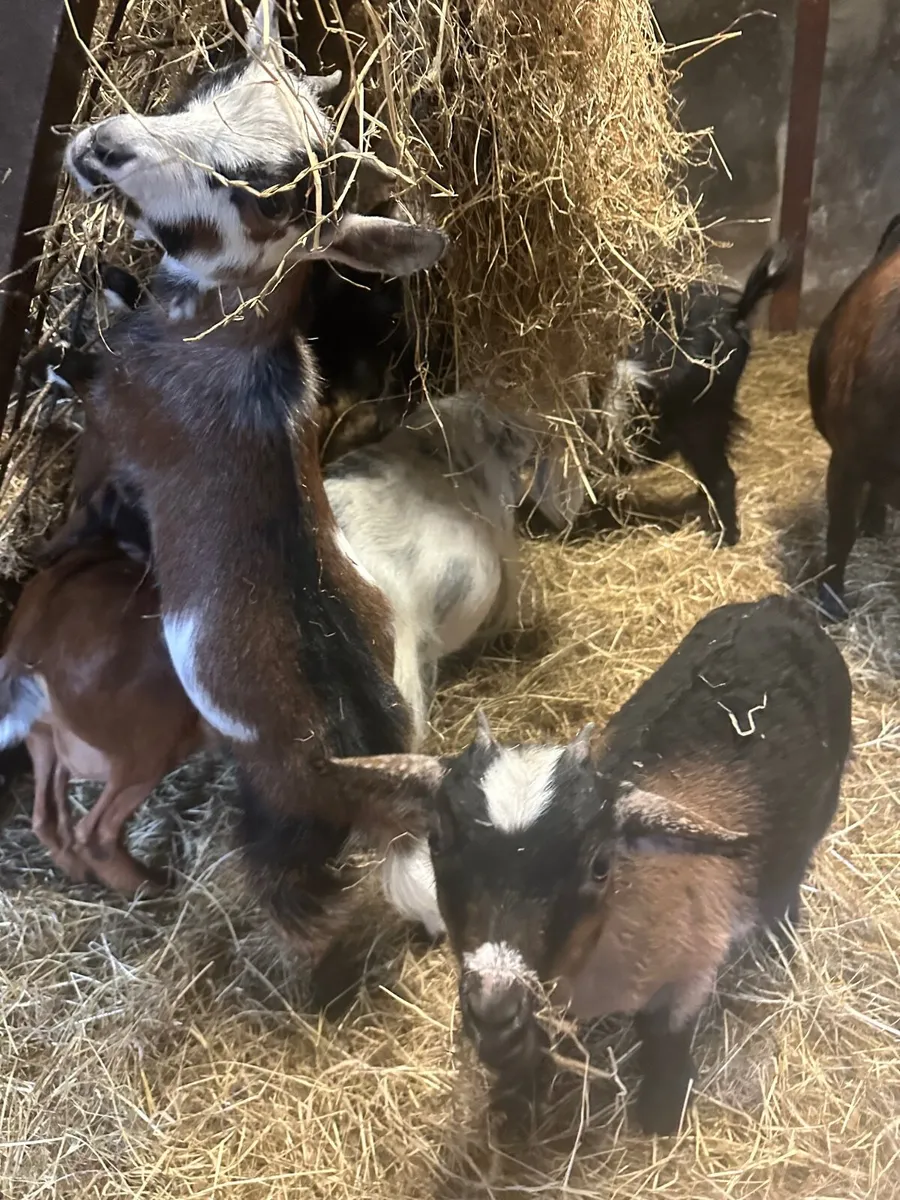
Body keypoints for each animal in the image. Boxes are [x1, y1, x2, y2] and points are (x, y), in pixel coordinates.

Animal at [63, 0, 448, 956]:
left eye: (258, 195)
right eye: (205, 81)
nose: (105, 146)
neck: (225, 348)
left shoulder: (115, 420)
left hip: (280, 816)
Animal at [336, 594, 851, 1132]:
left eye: (599, 867)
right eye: (436, 841)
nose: (495, 1008)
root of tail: (777, 606)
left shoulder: (692, 971)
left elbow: (665, 1040)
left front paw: (661, 1111)